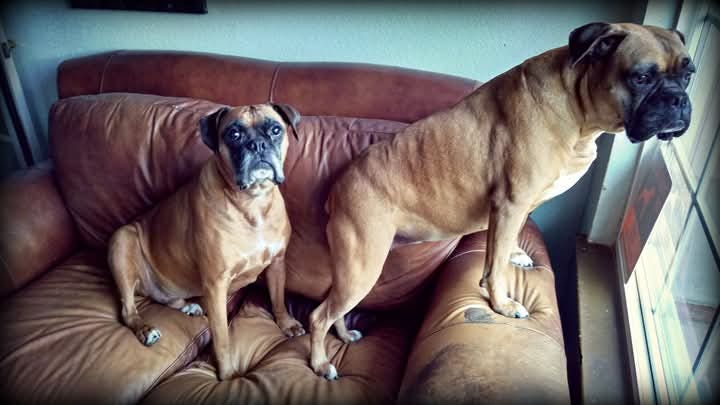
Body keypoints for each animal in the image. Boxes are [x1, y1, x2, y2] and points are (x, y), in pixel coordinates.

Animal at [108, 103, 305, 381]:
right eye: (234, 134)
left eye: (275, 130)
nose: (257, 144)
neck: (252, 202)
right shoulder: (216, 284)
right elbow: (222, 337)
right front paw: (228, 373)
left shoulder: (277, 263)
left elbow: (277, 297)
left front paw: (286, 323)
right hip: (122, 239)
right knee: (127, 311)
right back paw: (145, 328)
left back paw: (187, 306)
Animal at [307, 22, 694, 379]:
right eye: (641, 77)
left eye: (689, 75)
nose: (678, 100)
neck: (577, 106)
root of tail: (339, 186)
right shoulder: (511, 204)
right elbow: (495, 269)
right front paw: (502, 304)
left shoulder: (516, 209)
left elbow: (501, 248)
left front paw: (516, 256)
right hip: (363, 267)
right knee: (318, 316)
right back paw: (320, 362)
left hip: (355, 271)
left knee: (333, 309)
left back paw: (343, 335)